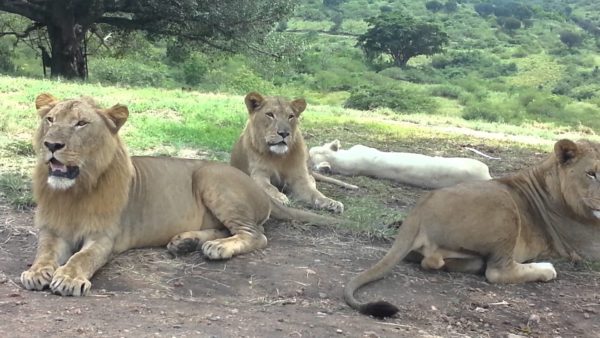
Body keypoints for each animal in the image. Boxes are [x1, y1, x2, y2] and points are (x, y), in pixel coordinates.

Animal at [19, 93, 338, 298]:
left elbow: (82, 258)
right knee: (226, 229)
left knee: (256, 235)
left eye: (81, 124)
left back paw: (217, 248)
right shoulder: (51, 230)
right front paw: (36, 272)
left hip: (210, 178)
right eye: (50, 120)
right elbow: (44, 253)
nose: (51, 145)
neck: (74, 191)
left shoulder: (104, 237)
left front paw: (69, 278)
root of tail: (258, 187)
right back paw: (186, 242)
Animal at [342, 139, 600, 318]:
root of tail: (418, 211)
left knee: (435, 262)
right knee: (497, 272)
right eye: (592, 173)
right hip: (504, 205)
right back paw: (546, 269)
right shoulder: (587, 246)